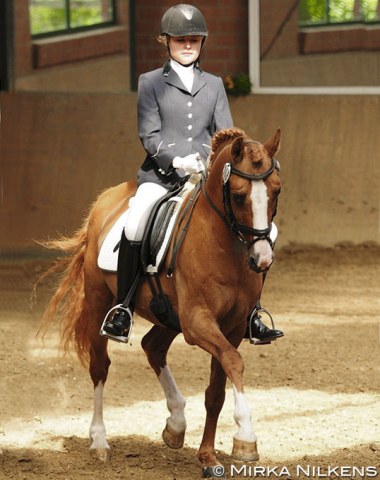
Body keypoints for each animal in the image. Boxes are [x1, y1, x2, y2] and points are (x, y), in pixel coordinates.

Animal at [40, 126, 282, 476]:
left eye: (277, 191)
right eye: (238, 196)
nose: (262, 259)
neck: (225, 246)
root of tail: (107, 197)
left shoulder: (233, 326)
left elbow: (216, 390)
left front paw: (208, 457)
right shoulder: (198, 323)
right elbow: (234, 361)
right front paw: (245, 438)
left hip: (168, 315)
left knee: (153, 346)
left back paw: (176, 423)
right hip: (101, 301)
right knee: (100, 367)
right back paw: (99, 441)